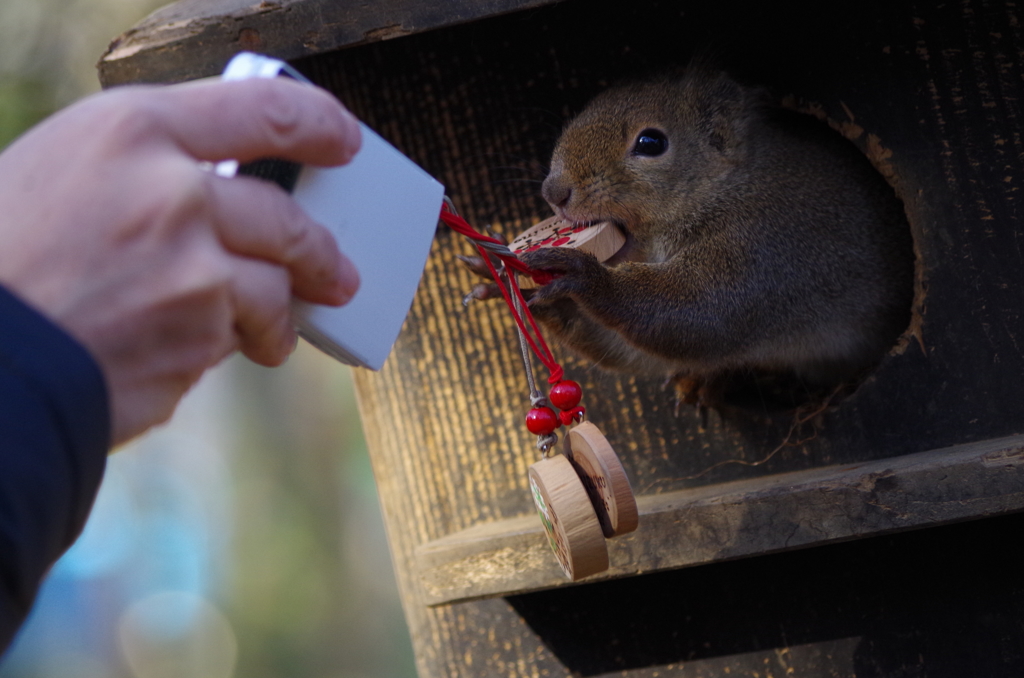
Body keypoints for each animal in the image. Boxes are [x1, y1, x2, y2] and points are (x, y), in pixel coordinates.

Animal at [468, 67, 909, 409]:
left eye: (651, 143)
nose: (553, 192)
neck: (726, 186)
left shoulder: (765, 248)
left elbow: (700, 312)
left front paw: (584, 277)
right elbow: (626, 348)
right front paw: (509, 286)